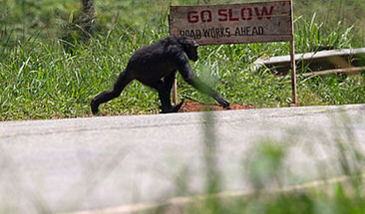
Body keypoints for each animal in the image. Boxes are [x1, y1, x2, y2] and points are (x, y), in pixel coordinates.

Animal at [90, 36, 229, 114]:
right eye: (195, 48)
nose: (197, 54)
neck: (181, 44)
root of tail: (129, 67)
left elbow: (169, 80)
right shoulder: (179, 55)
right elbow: (189, 78)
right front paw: (220, 98)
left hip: (129, 76)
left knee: (115, 92)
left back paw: (95, 103)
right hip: (144, 76)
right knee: (161, 88)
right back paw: (169, 109)